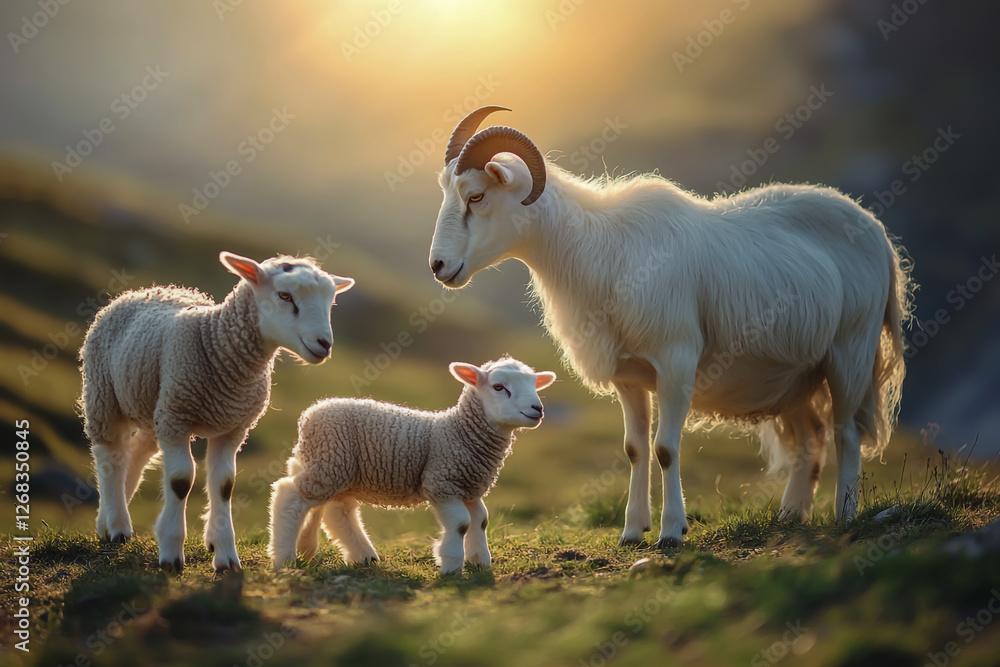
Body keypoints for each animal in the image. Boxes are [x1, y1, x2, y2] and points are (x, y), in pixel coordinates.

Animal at [78, 251, 355, 572]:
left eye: (330, 302)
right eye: (284, 295)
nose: (324, 344)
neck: (216, 343)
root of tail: (142, 291)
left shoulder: (231, 427)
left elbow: (224, 484)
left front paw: (225, 556)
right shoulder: (178, 419)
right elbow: (181, 480)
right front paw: (171, 554)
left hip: (156, 405)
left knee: (135, 454)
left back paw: (109, 519)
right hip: (105, 394)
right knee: (110, 457)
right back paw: (117, 524)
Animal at [268, 356, 556, 573]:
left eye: (534, 385)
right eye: (499, 387)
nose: (537, 409)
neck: (458, 431)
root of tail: (311, 412)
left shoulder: (469, 487)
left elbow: (481, 520)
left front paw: (479, 561)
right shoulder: (442, 482)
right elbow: (461, 524)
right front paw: (451, 565)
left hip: (334, 467)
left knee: (335, 510)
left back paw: (353, 554)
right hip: (330, 460)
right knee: (290, 495)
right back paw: (285, 557)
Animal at [428, 106, 915, 548]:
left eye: (475, 196)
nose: (438, 267)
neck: (599, 249)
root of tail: (874, 228)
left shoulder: (676, 361)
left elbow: (665, 449)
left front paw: (671, 532)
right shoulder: (628, 374)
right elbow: (635, 449)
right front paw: (631, 531)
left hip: (851, 350)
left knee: (846, 433)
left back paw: (845, 516)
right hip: (796, 373)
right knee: (810, 440)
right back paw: (791, 517)